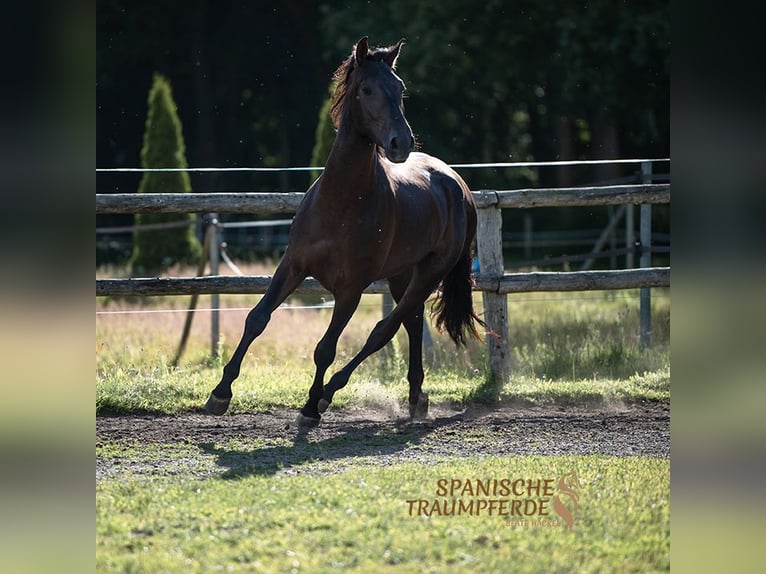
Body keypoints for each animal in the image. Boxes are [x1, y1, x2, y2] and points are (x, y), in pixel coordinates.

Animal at [207, 35, 486, 424]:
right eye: (367, 89)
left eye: (400, 88)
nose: (401, 142)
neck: (340, 203)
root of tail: (457, 184)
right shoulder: (292, 266)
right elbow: (257, 319)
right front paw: (220, 393)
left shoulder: (351, 289)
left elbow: (325, 348)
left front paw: (310, 406)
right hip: (402, 274)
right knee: (412, 322)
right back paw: (416, 397)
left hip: (430, 272)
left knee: (384, 330)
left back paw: (330, 393)